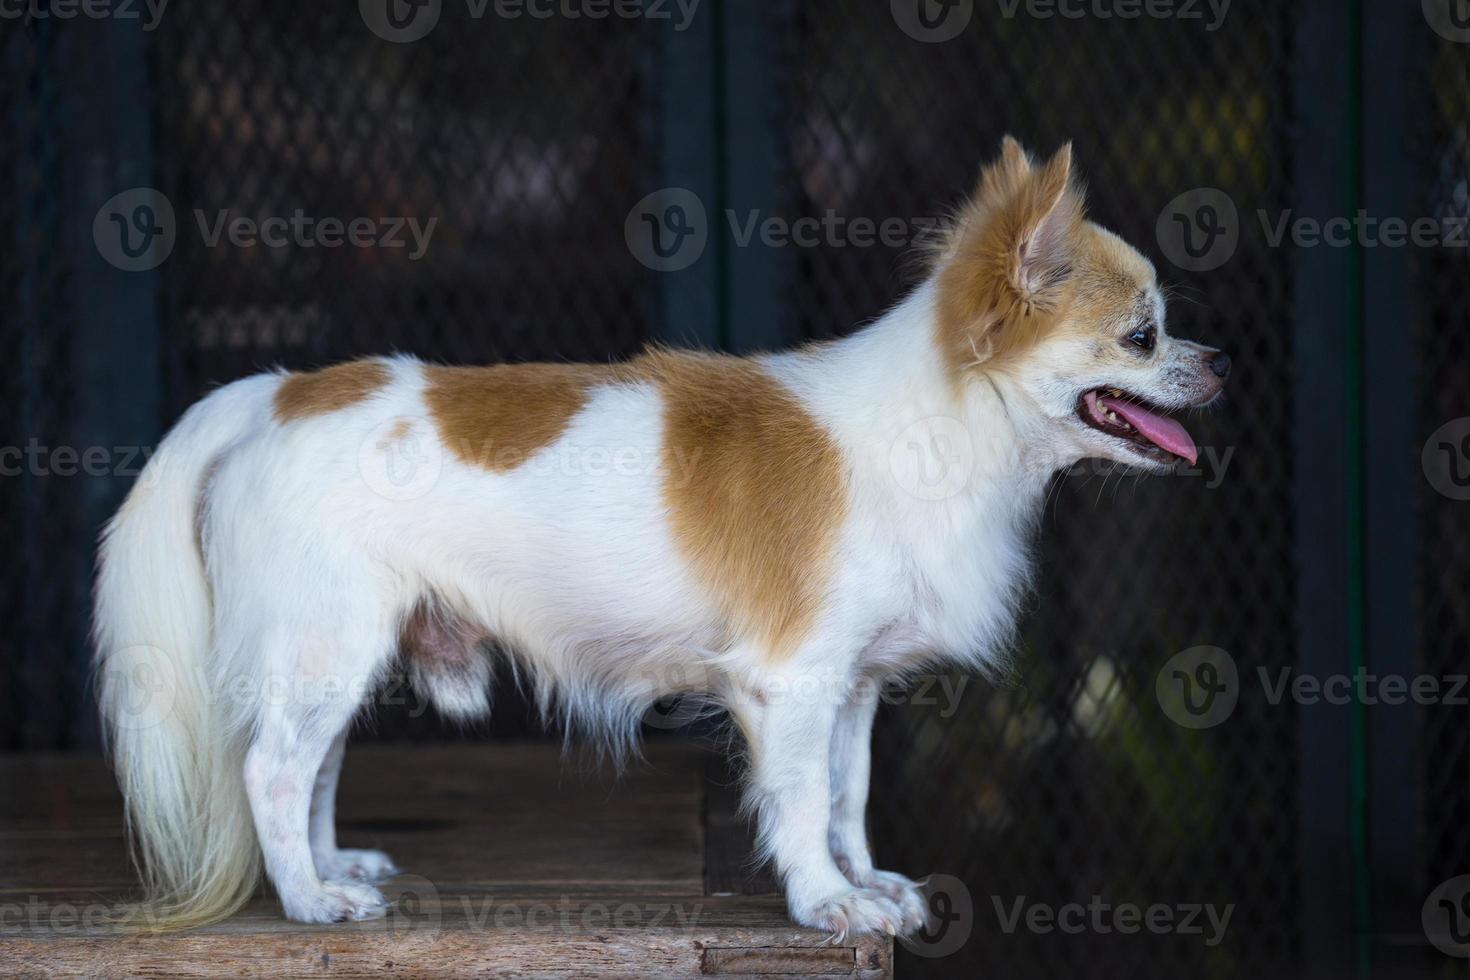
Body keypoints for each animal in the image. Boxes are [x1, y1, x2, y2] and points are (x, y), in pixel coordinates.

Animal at [94, 139, 1228, 940]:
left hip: (341, 649)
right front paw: (827, 902)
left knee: (314, 768)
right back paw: (306, 899)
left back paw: (332, 868)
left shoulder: (851, 685)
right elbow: (802, 800)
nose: (1220, 362)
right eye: (1144, 335)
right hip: (327, 644)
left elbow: (847, 793)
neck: (947, 430)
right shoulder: (791, 681)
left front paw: (866, 879)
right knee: (272, 771)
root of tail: (280, 389)